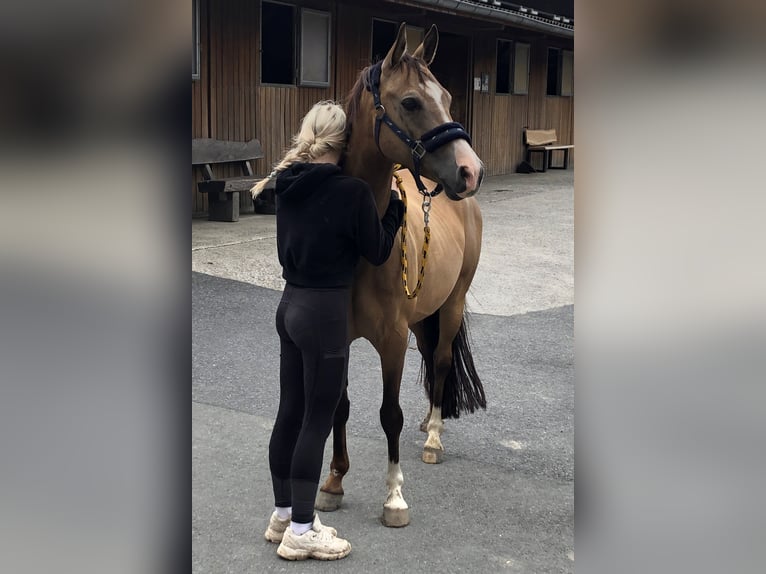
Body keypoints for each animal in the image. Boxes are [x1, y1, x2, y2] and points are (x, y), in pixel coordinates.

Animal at [315, 23, 486, 528]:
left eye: (446, 97)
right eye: (410, 102)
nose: (470, 170)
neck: (363, 243)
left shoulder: (392, 341)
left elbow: (388, 414)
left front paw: (393, 497)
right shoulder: (339, 335)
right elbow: (340, 406)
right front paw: (333, 481)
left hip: (452, 303)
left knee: (443, 360)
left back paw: (433, 437)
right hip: (424, 315)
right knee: (432, 358)